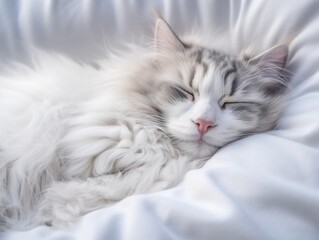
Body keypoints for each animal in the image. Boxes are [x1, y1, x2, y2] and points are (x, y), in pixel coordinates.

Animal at [0, 17, 290, 230]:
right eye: (185, 92)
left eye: (231, 102)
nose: (203, 123)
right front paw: (49, 210)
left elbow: (81, 194)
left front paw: (50, 208)